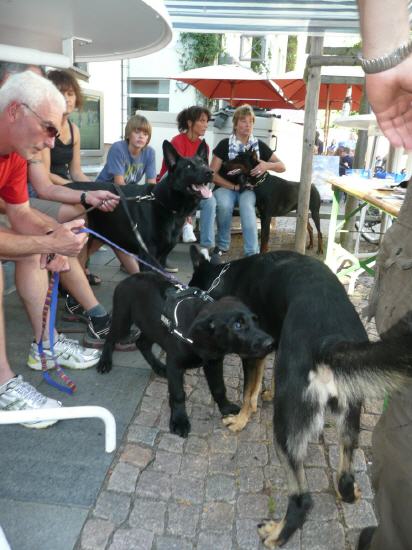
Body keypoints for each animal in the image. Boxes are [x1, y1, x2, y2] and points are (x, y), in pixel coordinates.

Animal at [68, 141, 212, 270]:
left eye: (204, 163)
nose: (210, 172)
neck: (164, 203)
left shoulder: (161, 257)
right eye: (188, 166)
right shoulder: (149, 256)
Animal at [96, 272, 274, 440]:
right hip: (123, 321)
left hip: (151, 327)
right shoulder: (175, 365)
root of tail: (128, 278)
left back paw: (159, 367)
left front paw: (226, 408)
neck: (201, 337)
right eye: (237, 325)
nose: (270, 343)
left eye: (256, 320)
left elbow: (219, 388)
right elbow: (178, 394)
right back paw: (104, 362)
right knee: (110, 338)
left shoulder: (214, 362)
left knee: (142, 343)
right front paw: (179, 421)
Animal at [189, 249, 412, 548]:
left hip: (285, 430)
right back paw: (348, 492)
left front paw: (241, 419)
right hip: (349, 419)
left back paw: (276, 534)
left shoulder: (254, 352)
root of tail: (330, 341)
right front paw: (266, 394)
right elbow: (265, 380)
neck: (228, 274)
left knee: (302, 499)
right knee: (344, 474)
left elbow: (249, 391)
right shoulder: (274, 344)